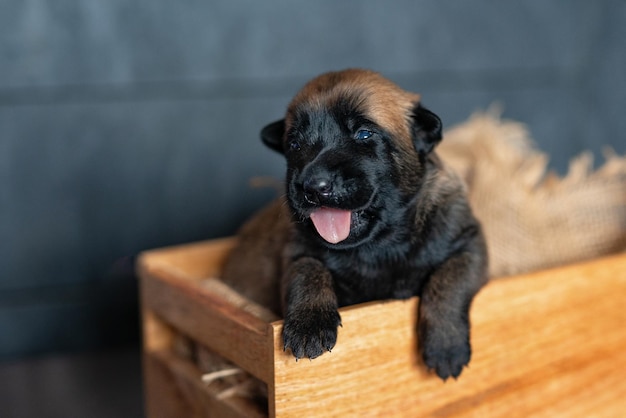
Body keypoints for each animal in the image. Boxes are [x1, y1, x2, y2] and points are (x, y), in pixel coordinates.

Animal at [221, 68, 488, 378]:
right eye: (295, 144)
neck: (380, 245)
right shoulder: (296, 252)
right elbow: (308, 270)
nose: (313, 187)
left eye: (363, 134)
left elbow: (449, 280)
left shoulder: (469, 244)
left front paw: (447, 345)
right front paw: (309, 325)